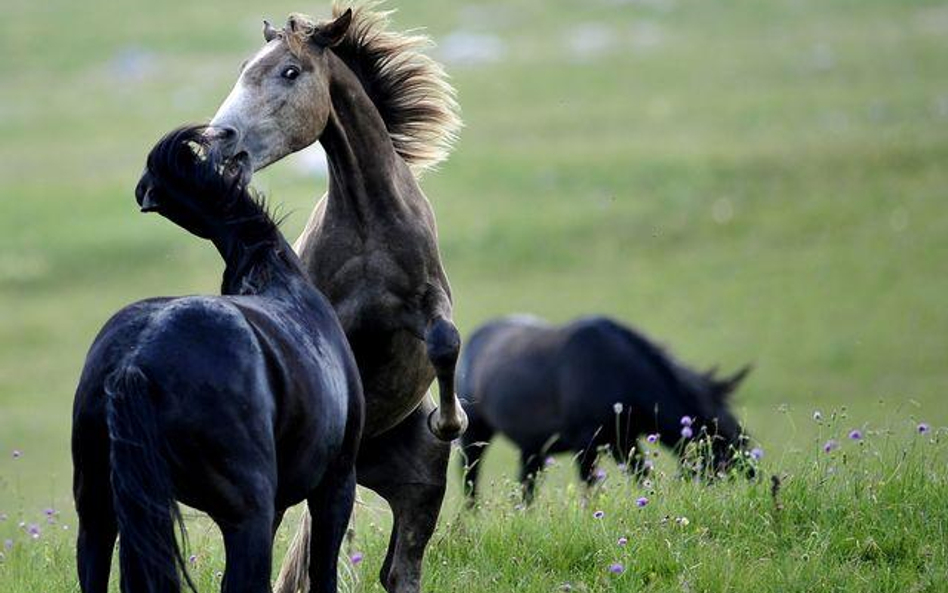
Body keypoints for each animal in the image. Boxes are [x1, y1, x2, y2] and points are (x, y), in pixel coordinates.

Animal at [71, 126, 362, 592]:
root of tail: (135, 361)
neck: (275, 275)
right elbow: (322, 571)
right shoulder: (336, 484)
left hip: (97, 514)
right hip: (247, 515)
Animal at [209, 5, 468, 592]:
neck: (369, 221)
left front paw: (451, 420)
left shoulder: (428, 299)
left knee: (401, 570)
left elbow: (446, 339)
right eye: (244, 68)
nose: (218, 137)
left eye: (288, 72)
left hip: (420, 489)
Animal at [456, 314, 752, 504]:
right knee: (470, 479)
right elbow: (592, 491)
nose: (752, 474)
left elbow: (642, 477)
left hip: (533, 448)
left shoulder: (623, 440)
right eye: (718, 439)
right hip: (475, 434)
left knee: (527, 487)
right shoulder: (587, 445)